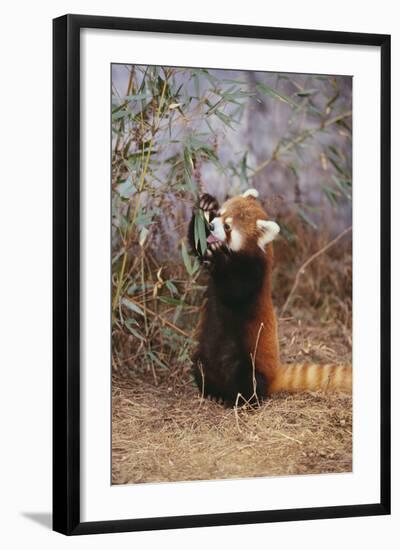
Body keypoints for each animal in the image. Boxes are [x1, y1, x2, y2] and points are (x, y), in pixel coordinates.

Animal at [188, 188, 350, 408]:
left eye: (228, 227)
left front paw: (218, 257)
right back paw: (213, 392)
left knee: (248, 380)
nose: (212, 225)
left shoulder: (255, 273)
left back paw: (240, 400)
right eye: (219, 214)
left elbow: (235, 290)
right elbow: (197, 243)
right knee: (200, 365)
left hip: (250, 361)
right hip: (203, 352)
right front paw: (205, 206)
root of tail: (275, 376)